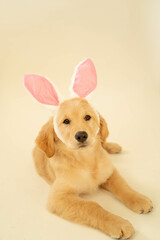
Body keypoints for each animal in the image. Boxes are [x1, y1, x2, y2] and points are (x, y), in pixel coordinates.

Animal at [23, 59, 152, 239]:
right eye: (66, 121)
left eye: (87, 117)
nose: (82, 135)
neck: (85, 159)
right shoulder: (58, 197)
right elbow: (92, 206)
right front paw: (118, 223)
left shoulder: (109, 171)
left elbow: (122, 185)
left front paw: (139, 199)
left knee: (103, 140)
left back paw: (113, 146)